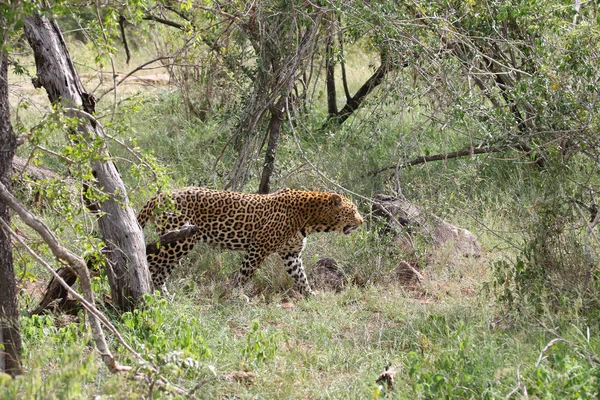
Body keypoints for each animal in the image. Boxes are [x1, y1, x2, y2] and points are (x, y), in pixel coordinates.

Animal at [138, 186, 364, 296]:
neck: (311, 220)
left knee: (159, 272)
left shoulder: (291, 254)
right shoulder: (258, 248)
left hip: (177, 244)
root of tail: (159, 196)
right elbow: (244, 275)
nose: (362, 221)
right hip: (178, 242)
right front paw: (236, 294)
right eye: (353, 210)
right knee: (147, 261)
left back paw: (165, 297)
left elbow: (301, 276)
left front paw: (310, 295)